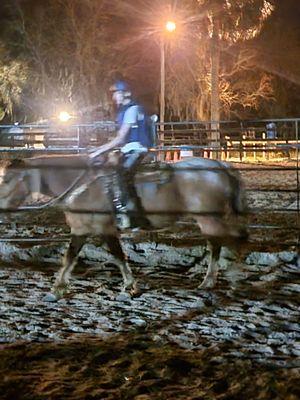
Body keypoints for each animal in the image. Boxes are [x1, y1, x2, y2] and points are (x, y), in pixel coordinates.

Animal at [0, 155, 248, 298]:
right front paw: (58, 288)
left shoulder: (101, 229)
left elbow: (116, 256)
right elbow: (71, 257)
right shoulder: (84, 230)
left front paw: (129, 286)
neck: (83, 186)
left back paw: (221, 279)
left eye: (6, 179)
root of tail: (220, 165)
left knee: (227, 241)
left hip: (208, 219)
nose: (1, 208)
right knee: (227, 241)